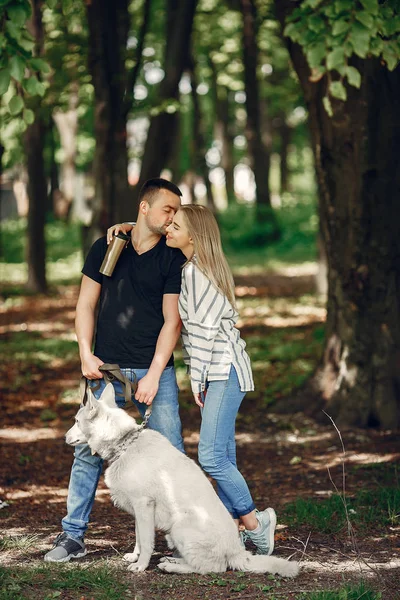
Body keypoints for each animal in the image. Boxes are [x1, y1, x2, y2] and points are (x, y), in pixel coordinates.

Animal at [65, 384, 298, 576]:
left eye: (76, 421)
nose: (65, 437)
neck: (125, 444)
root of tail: (238, 552)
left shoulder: (143, 505)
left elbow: (147, 541)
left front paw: (141, 566)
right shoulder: (139, 511)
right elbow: (139, 536)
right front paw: (135, 557)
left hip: (179, 527)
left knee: (211, 568)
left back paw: (171, 567)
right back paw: (172, 560)